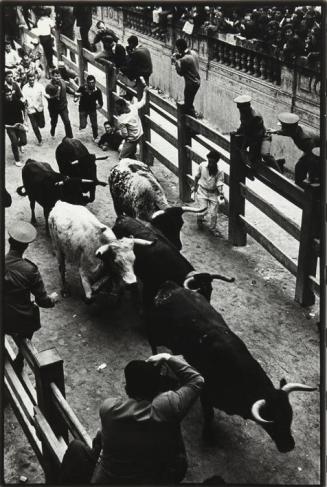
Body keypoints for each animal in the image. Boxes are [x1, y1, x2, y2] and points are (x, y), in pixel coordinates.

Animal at [149, 282, 318, 454]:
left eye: (290, 416)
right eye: (272, 420)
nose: (289, 446)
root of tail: (172, 287)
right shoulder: (206, 394)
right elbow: (209, 415)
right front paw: (208, 437)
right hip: (158, 333)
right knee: (153, 343)